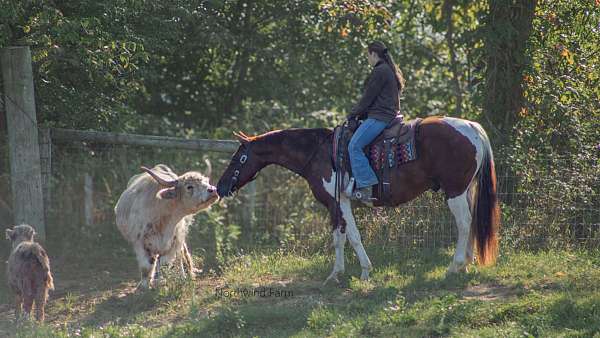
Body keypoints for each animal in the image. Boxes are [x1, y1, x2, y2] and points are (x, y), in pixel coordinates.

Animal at [217, 117, 502, 284]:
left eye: (239, 158)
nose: (220, 187)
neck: (318, 152)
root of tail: (473, 128)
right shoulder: (336, 204)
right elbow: (340, 237)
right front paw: (337, 273)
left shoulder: (338, 202)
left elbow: (351, 236)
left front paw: (363, 271)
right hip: (466, 189)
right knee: (471, 223)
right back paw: (466, 264)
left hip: (454, 191)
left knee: (464, 223)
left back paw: (455, 266)